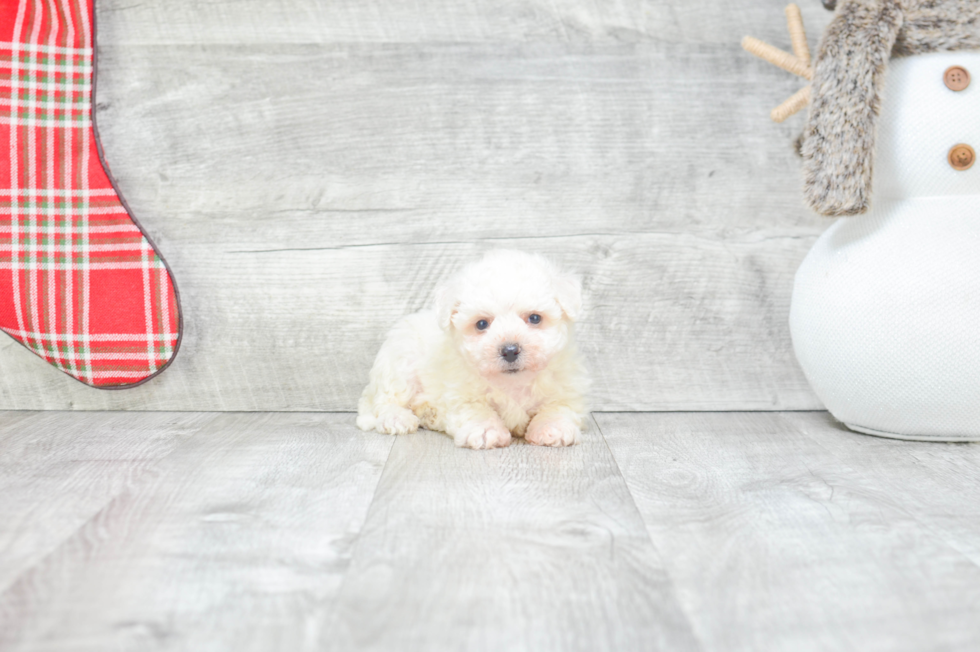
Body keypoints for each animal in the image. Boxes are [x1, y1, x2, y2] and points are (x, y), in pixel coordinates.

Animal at [356, 250, 584, 448]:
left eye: (535, 318)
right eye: (481, 324)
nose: (510, 350)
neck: (512, 383)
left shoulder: (567, 388)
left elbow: (559, 406)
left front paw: (552, 427)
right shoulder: (460, 394)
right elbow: (476, 409)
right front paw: (486, 430)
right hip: (399, 366)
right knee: (385, 401)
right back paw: (397, 419)